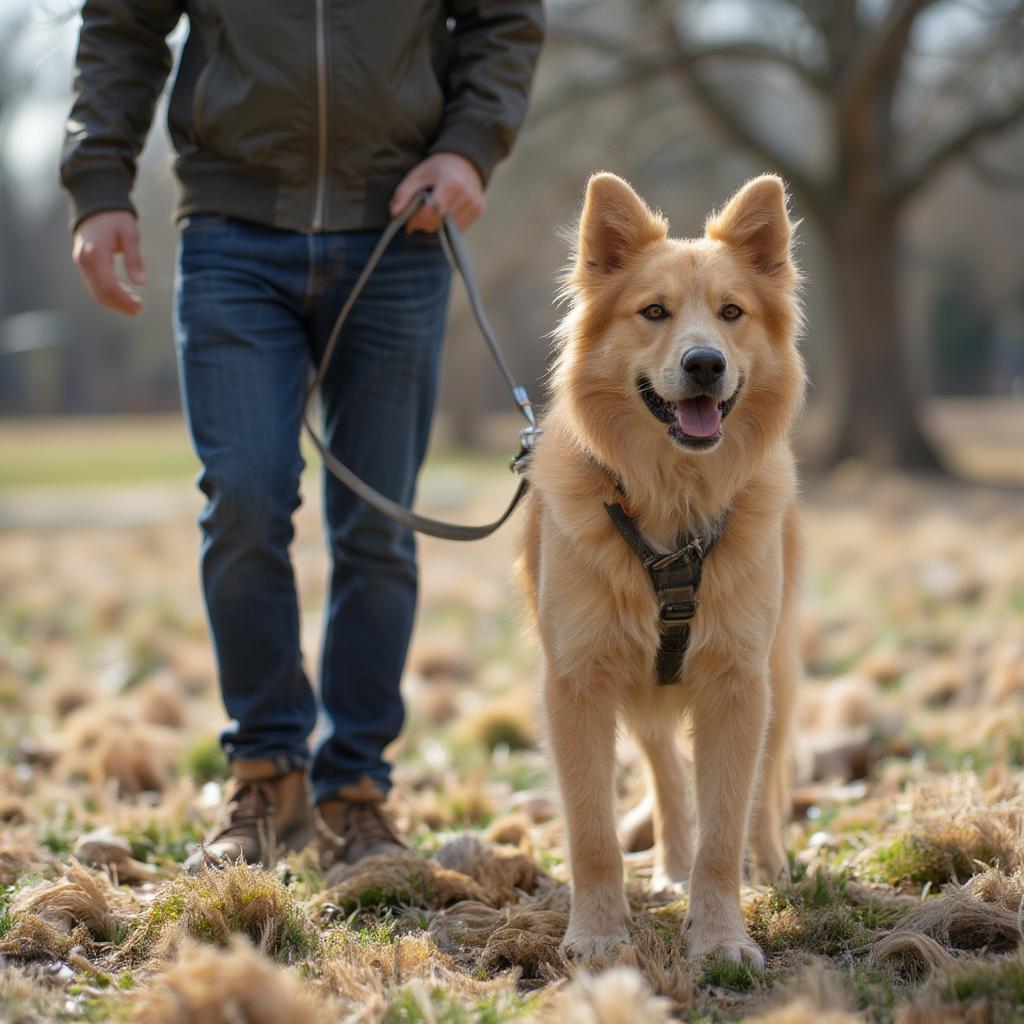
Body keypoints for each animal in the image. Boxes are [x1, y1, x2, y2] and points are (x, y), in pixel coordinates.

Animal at [520, 172, 806, 962]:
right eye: (654, 312)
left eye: (733, 313)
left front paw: (720, 937)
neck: (673, 510)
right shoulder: (577, 682)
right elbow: (591, 832)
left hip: (777, 673)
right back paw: (671, 868)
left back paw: (770, 866)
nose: (704, 363)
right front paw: (597, 934)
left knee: (763, 789)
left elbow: (727, 828)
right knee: (669, 774)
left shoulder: (739, 684)